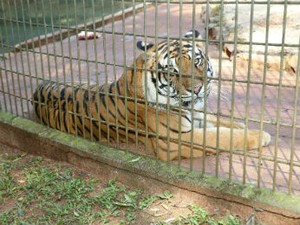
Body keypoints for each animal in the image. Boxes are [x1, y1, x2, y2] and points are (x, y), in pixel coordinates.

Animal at [31, 29, 270, 161]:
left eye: (197, 61)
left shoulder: (198, 117)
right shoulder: (175, 140)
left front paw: (251, 128)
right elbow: (222, 137)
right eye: (173, 72)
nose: (196, 89)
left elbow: (226, 124)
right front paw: (261, 136)